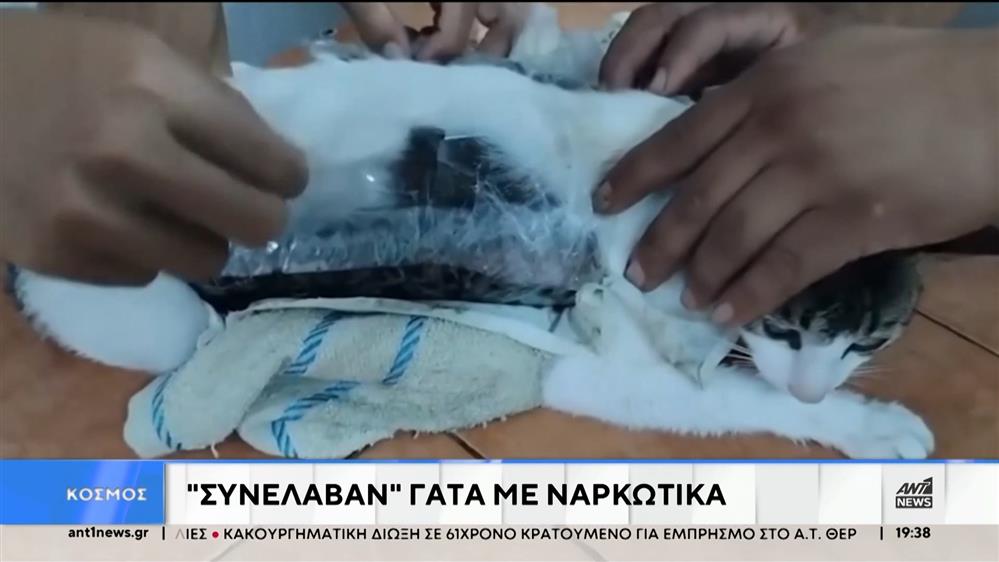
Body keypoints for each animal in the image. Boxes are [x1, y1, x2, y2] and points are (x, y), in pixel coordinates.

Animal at [6, 4, 932, 458]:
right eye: (787, 327)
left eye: (870, 339)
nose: (810, 386)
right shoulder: (607, 339)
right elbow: (719, 393)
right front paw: (872, 425)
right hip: (138, 297)